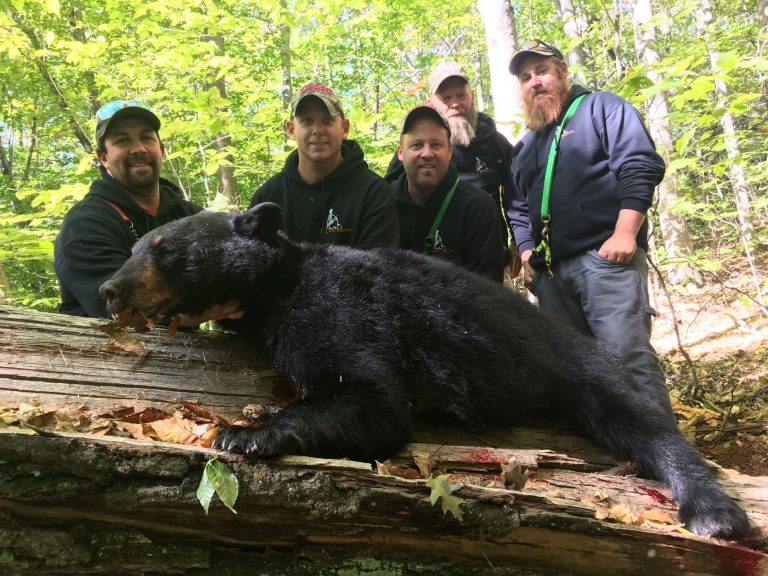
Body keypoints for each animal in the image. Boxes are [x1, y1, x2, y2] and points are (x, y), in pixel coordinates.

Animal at [99, 202, 749, 540]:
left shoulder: (333, 305)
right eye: (134, 248)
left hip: (580, 365)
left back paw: (714, 512)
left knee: (643, 421)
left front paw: (244, 431)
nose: (109, 289)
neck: (276, 283)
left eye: (166, 251)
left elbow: (372, 397)